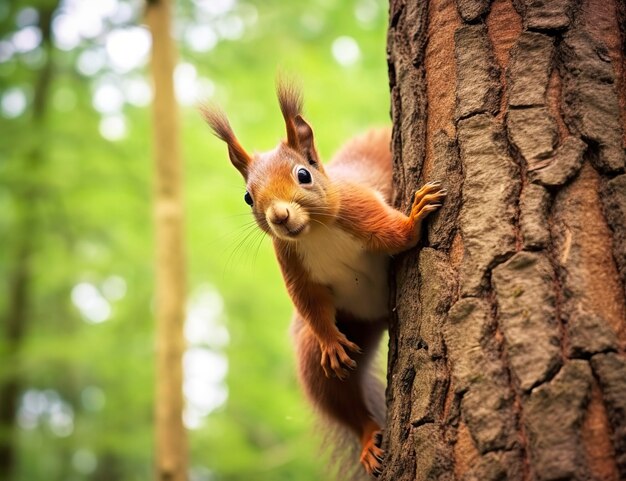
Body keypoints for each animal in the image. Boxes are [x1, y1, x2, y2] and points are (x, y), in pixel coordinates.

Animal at [204, 82, 444, 476]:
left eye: (304, 175)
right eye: (248, 197)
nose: (280, 216)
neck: (315, 231)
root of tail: (378, 318)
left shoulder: (360, 208)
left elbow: (398, 237)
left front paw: (415, 217)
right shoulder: (291, 263)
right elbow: (309, 301)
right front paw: (330, 342)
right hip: (335, 338)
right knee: (336, 394)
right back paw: (367, 436)